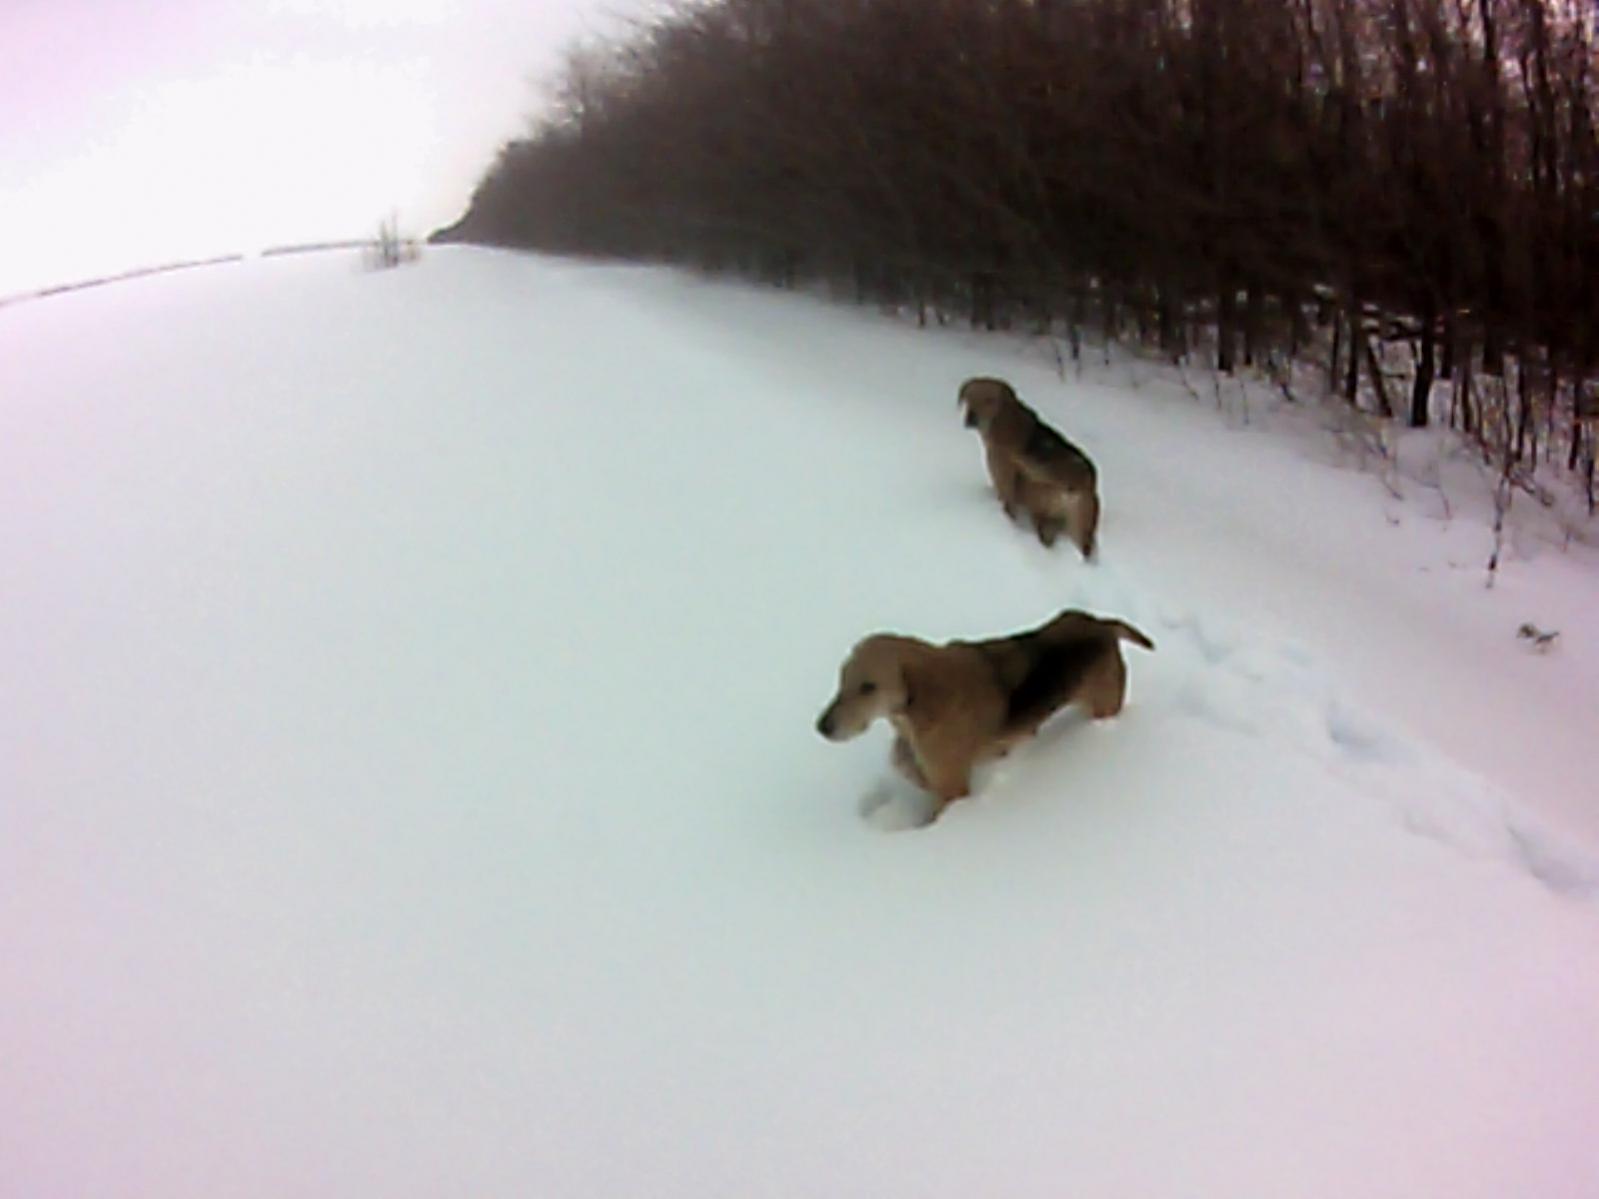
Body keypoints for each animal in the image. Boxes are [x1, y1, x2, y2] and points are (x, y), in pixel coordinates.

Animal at [816, 609, 1154, 822]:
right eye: (841, 679)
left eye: (868, 687)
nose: (822, 727)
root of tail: (1102, 625)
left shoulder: (951, 787)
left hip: (1103, 708)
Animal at [958, 377, 1100, 558]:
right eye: (969, 397)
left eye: (989, 400)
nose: (971, 418)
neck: (1002, 417)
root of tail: (1083, 479)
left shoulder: (1002, 474)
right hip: (1078, 525)